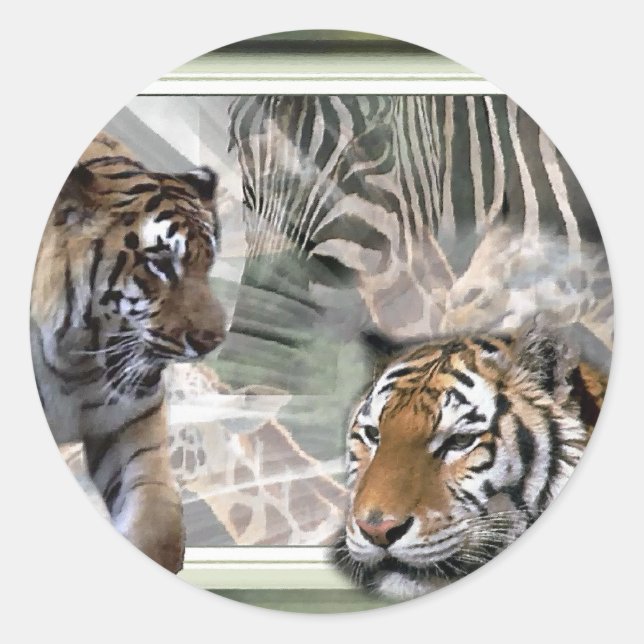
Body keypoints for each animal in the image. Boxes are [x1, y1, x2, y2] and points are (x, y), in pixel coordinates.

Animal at [30, 132, 226, 573]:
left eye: (209, 263)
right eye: (161, 264)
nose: (214, 339)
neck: (78, 360)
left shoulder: (135, 432)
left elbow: (160, 528)